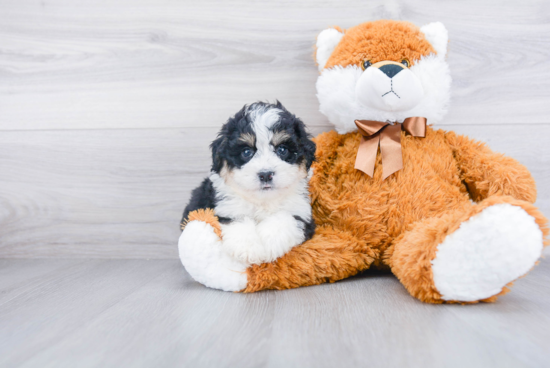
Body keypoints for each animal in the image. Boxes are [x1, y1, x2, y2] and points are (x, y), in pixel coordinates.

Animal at [181, 100, 316, 270]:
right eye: (246, 152)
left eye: (282, 149)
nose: (265, 174)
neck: (262, 201)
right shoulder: (223, 207)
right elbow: (238, 220)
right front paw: (248, 249)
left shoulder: (302, 212)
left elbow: (286, 219)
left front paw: (270, 242)